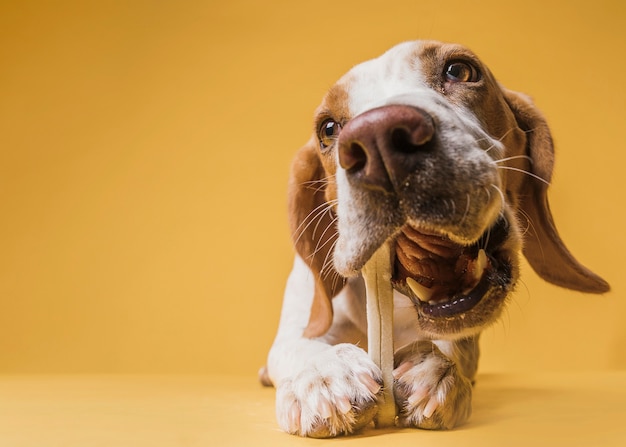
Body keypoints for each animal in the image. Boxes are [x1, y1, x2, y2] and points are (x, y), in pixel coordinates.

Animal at [256, 40, 608, 440]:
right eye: (328, 128)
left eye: (459, 70)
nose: (378, 138)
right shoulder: (298, 325)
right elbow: (297, 345)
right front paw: (323, 375)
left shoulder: (466, 338)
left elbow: (456, 348)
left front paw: (436, 369)